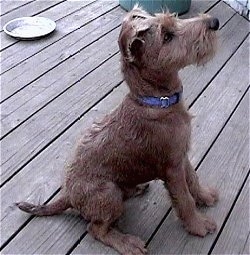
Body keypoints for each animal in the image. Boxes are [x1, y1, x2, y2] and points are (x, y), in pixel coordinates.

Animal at [16, 5, 219, 255]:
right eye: (167, 36)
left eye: (174, 20)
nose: (214, 22)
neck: (156, 102)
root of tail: (68, 195)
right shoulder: (171, 168)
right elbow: (184, 200)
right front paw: (198, 225)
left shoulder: (181, 157)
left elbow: (193, 179)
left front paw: (205, 196)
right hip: (108, 193)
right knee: (96, 229)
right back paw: (128, 243)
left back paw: (135, 189)